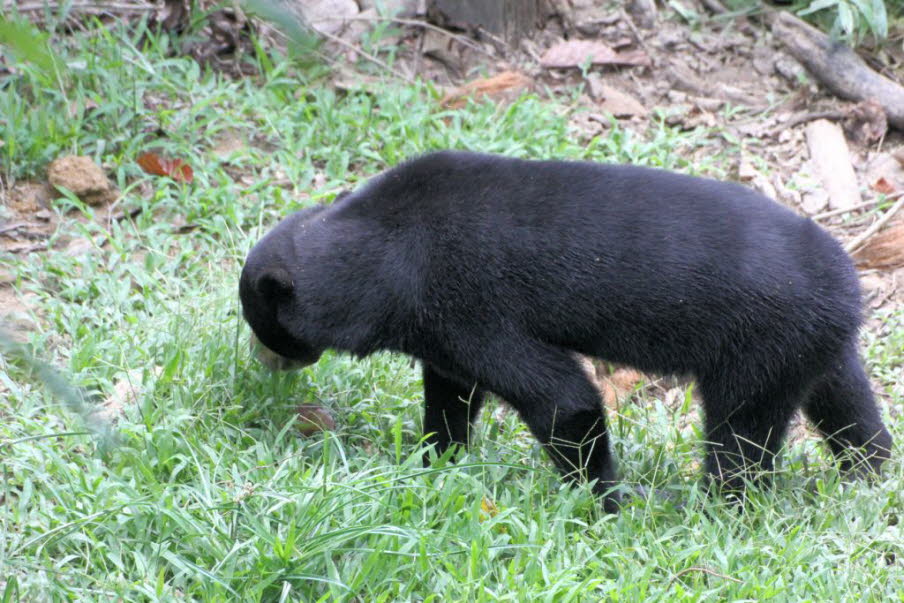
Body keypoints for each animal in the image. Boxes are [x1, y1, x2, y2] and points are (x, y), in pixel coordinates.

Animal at [238, 150, 888, 510]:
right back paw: (869, 476)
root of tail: (850, 285)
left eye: (263, 326)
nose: (266, 366)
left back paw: (719, 507)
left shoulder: (465, 306)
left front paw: (604, 502)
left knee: (741, 436)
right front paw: (435, 461)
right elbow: (451, 393)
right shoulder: (440, 334)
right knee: (848, 406)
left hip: (760, 343)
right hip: (814, 345)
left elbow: (562, 400)